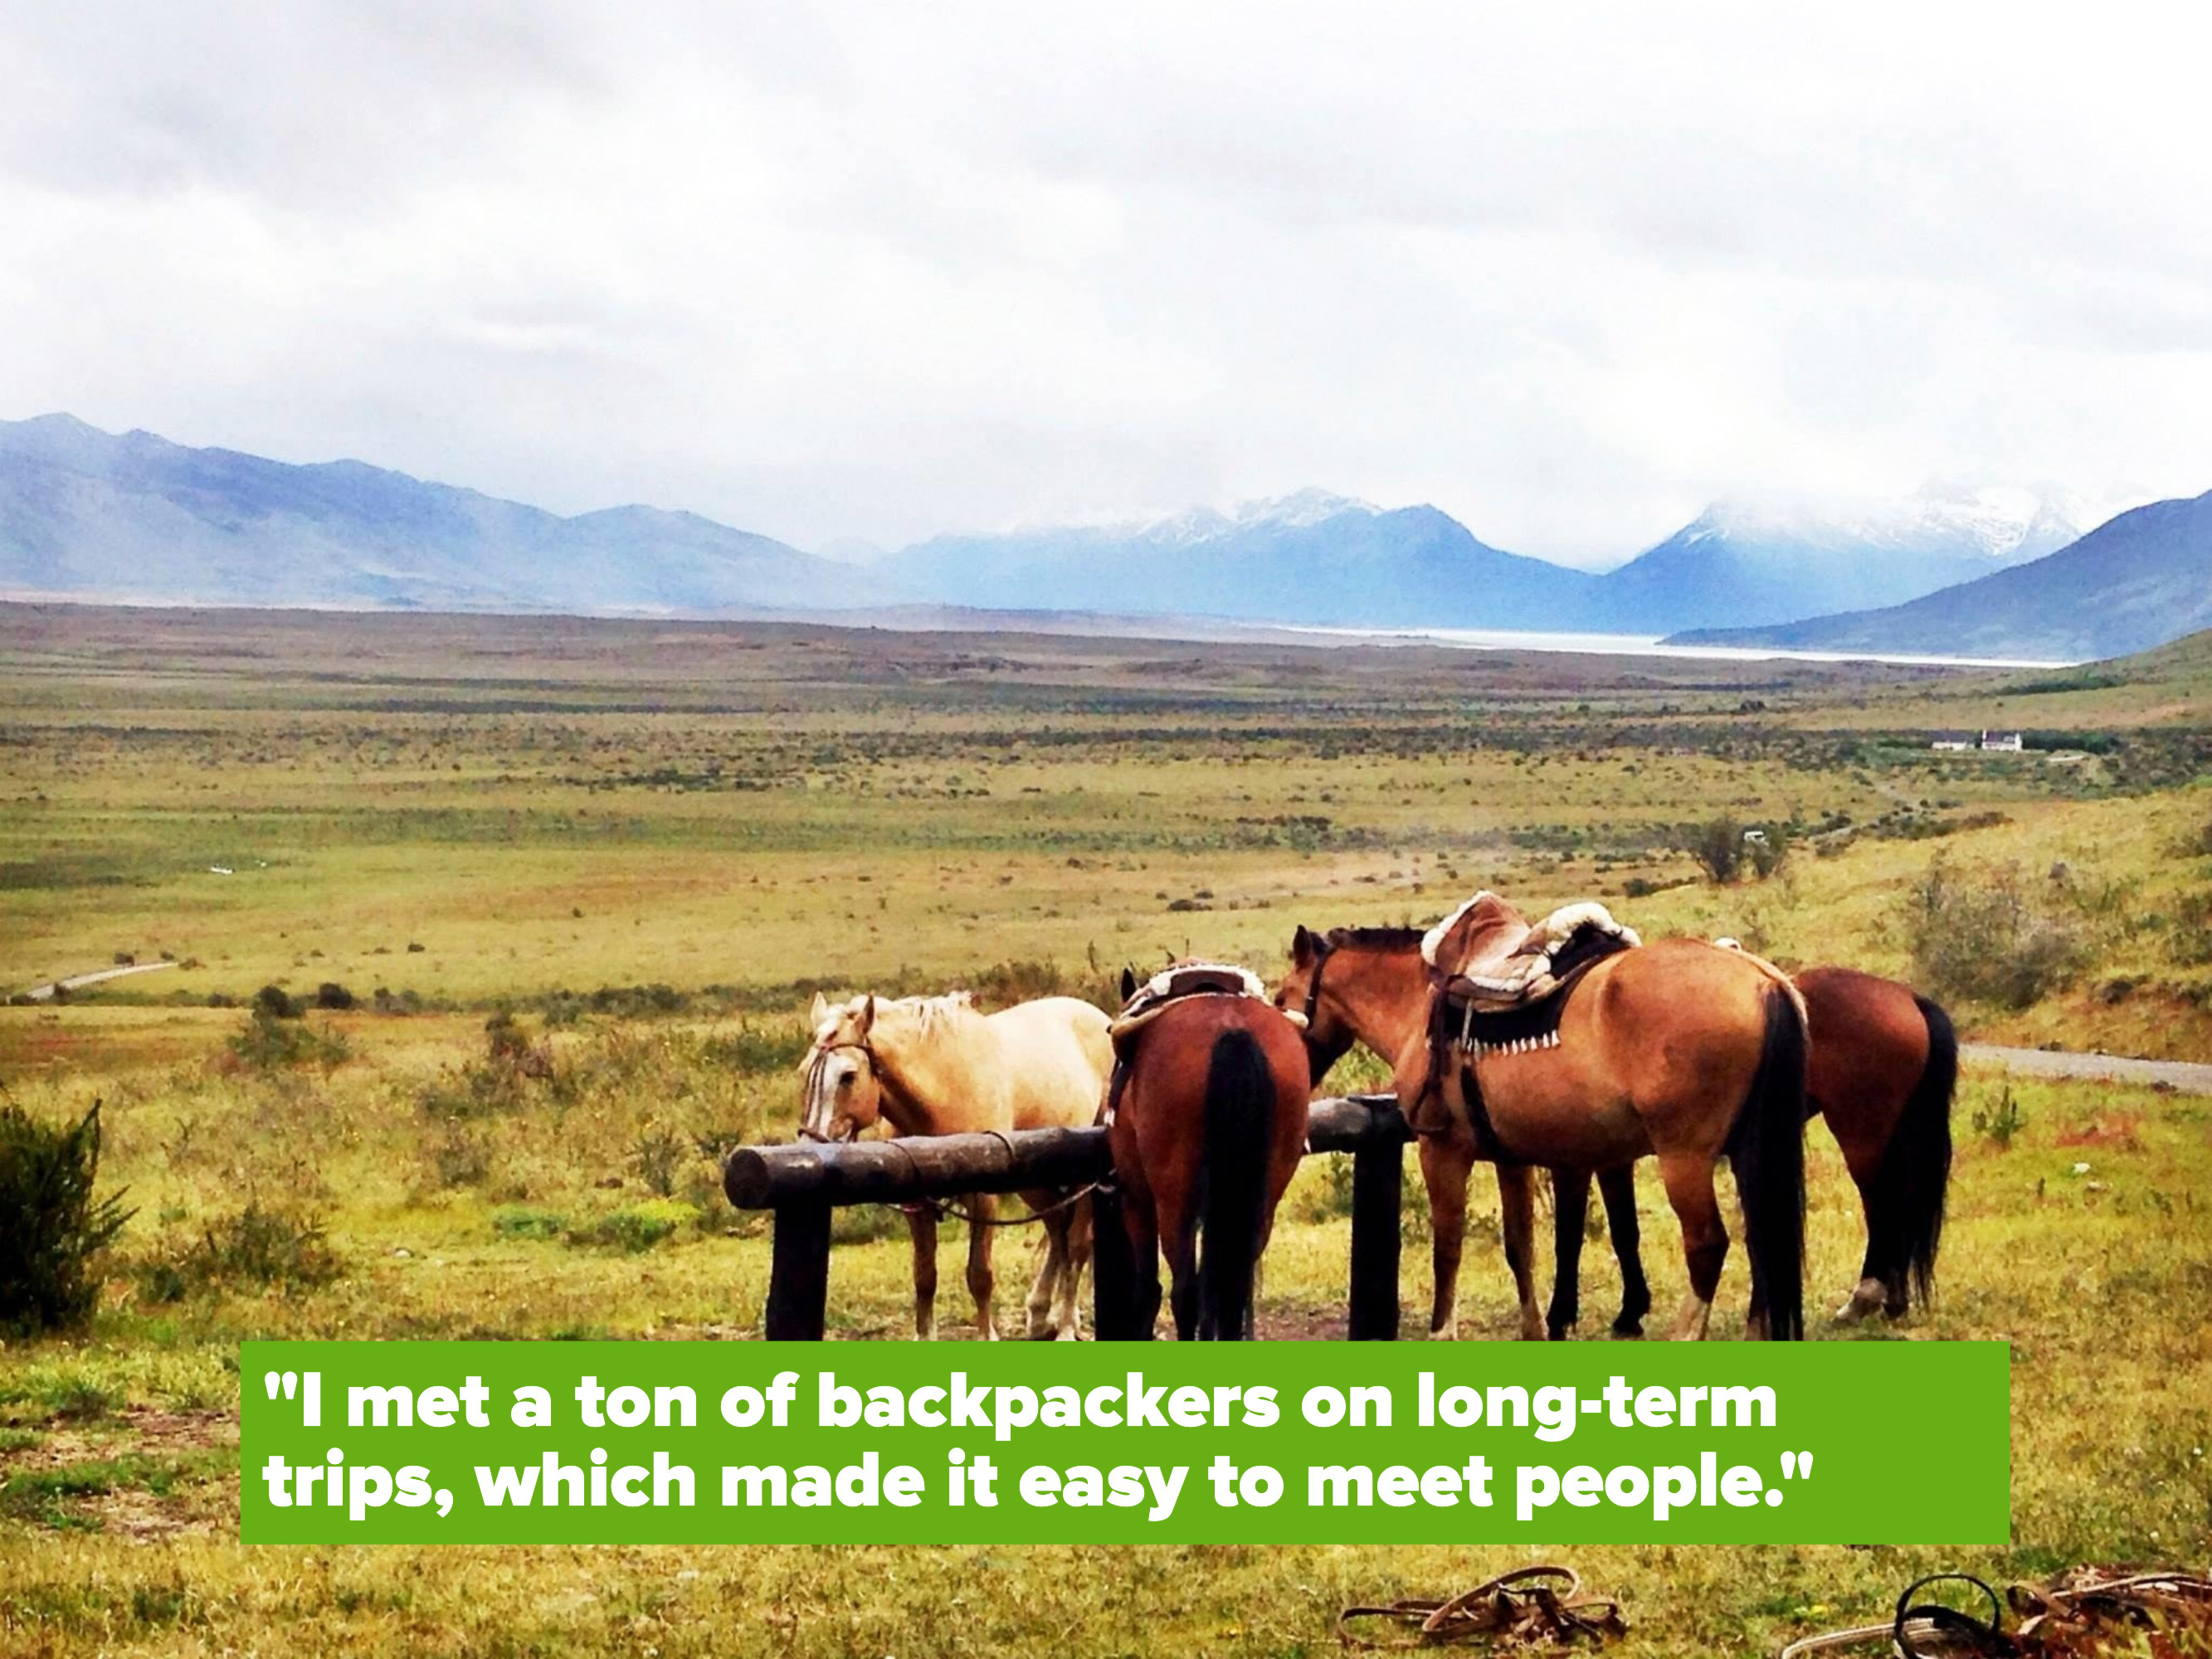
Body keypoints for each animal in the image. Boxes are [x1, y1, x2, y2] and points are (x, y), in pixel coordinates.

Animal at [796, 995, 1114, 1345]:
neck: (946, 1092)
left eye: (848, 1076)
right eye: (804, 1072)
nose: (812, 1147)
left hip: (1083, 1179)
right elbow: (924, 1276)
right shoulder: (917, 1204)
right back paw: (1042, 1313)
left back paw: (1067, 1325)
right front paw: (924, 1336)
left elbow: (980, 1275)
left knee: (1077, 1244)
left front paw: (987, 1336)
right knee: (1057, 1230)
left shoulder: (983, 1199)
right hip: (1034, 1183)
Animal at [1093, 969, 1300, 1345]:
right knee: (1231, 1289)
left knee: (1184, 1292)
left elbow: (1148, 1290)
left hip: (1174, 1202)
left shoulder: (1137, 1203)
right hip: (1264, 1200)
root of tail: (1233, 1032)